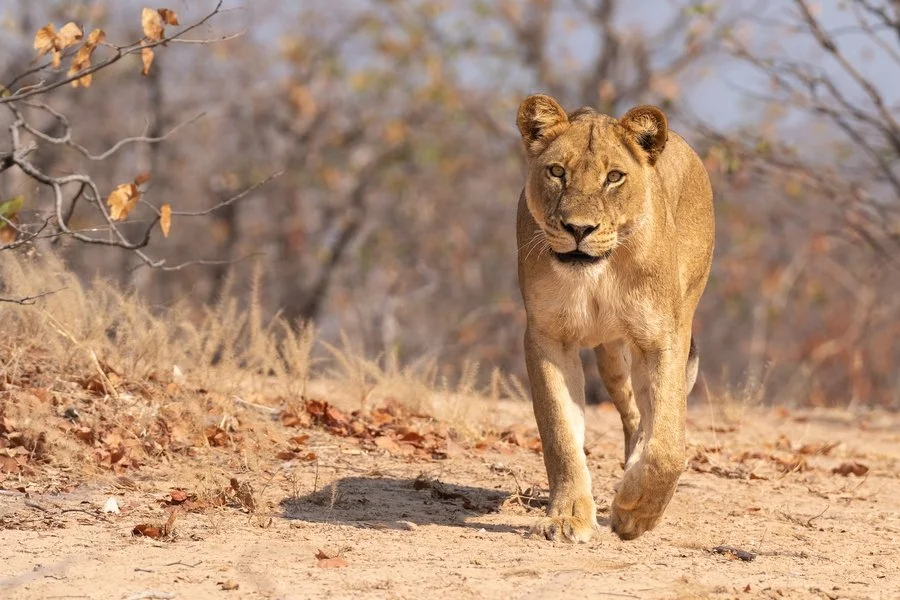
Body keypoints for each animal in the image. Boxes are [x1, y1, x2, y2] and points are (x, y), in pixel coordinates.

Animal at [515, 94, 714, 541]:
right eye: (557, 172)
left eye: (614, 178)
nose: (578, 229)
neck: (598, 273)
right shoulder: (547, 337)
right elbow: (560, 433)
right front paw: (568, 517)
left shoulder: (661, 339)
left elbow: (668, 445)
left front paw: (634, 512)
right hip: (611, 356)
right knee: (633, 415)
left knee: (650, 419)